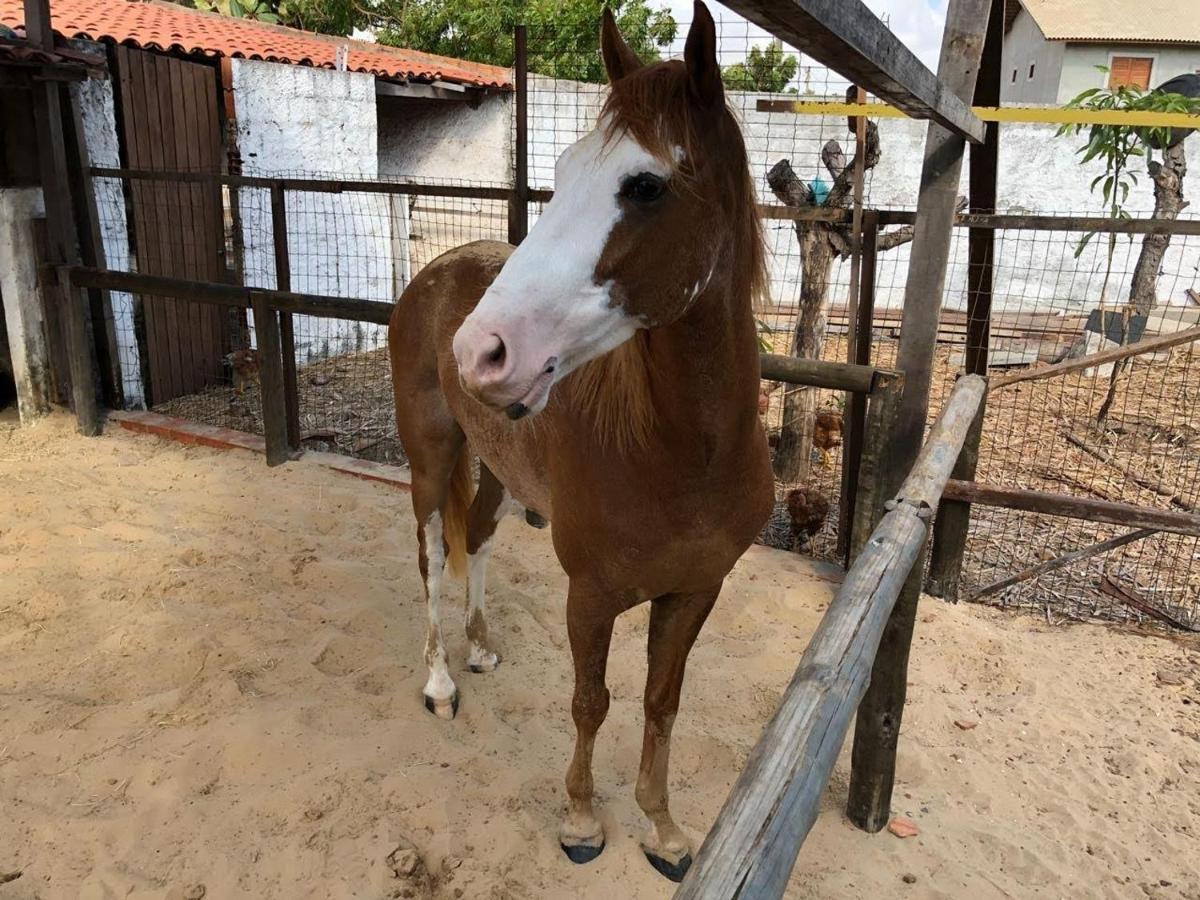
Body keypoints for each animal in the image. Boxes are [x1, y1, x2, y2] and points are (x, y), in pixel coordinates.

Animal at [388, 3, 772, 883]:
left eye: (646, 185)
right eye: (562, 173)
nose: (480, 350)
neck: (683, 455)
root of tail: (440, 269)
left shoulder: (696, 591)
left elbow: (662, 701)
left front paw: (663, 831)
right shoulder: (590, 595)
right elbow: (591, 701)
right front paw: (582, 821)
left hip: (497, 470)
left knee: (477, 540)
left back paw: (481, 648)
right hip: (429, 458)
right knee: (429, 558)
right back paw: (440, 682)